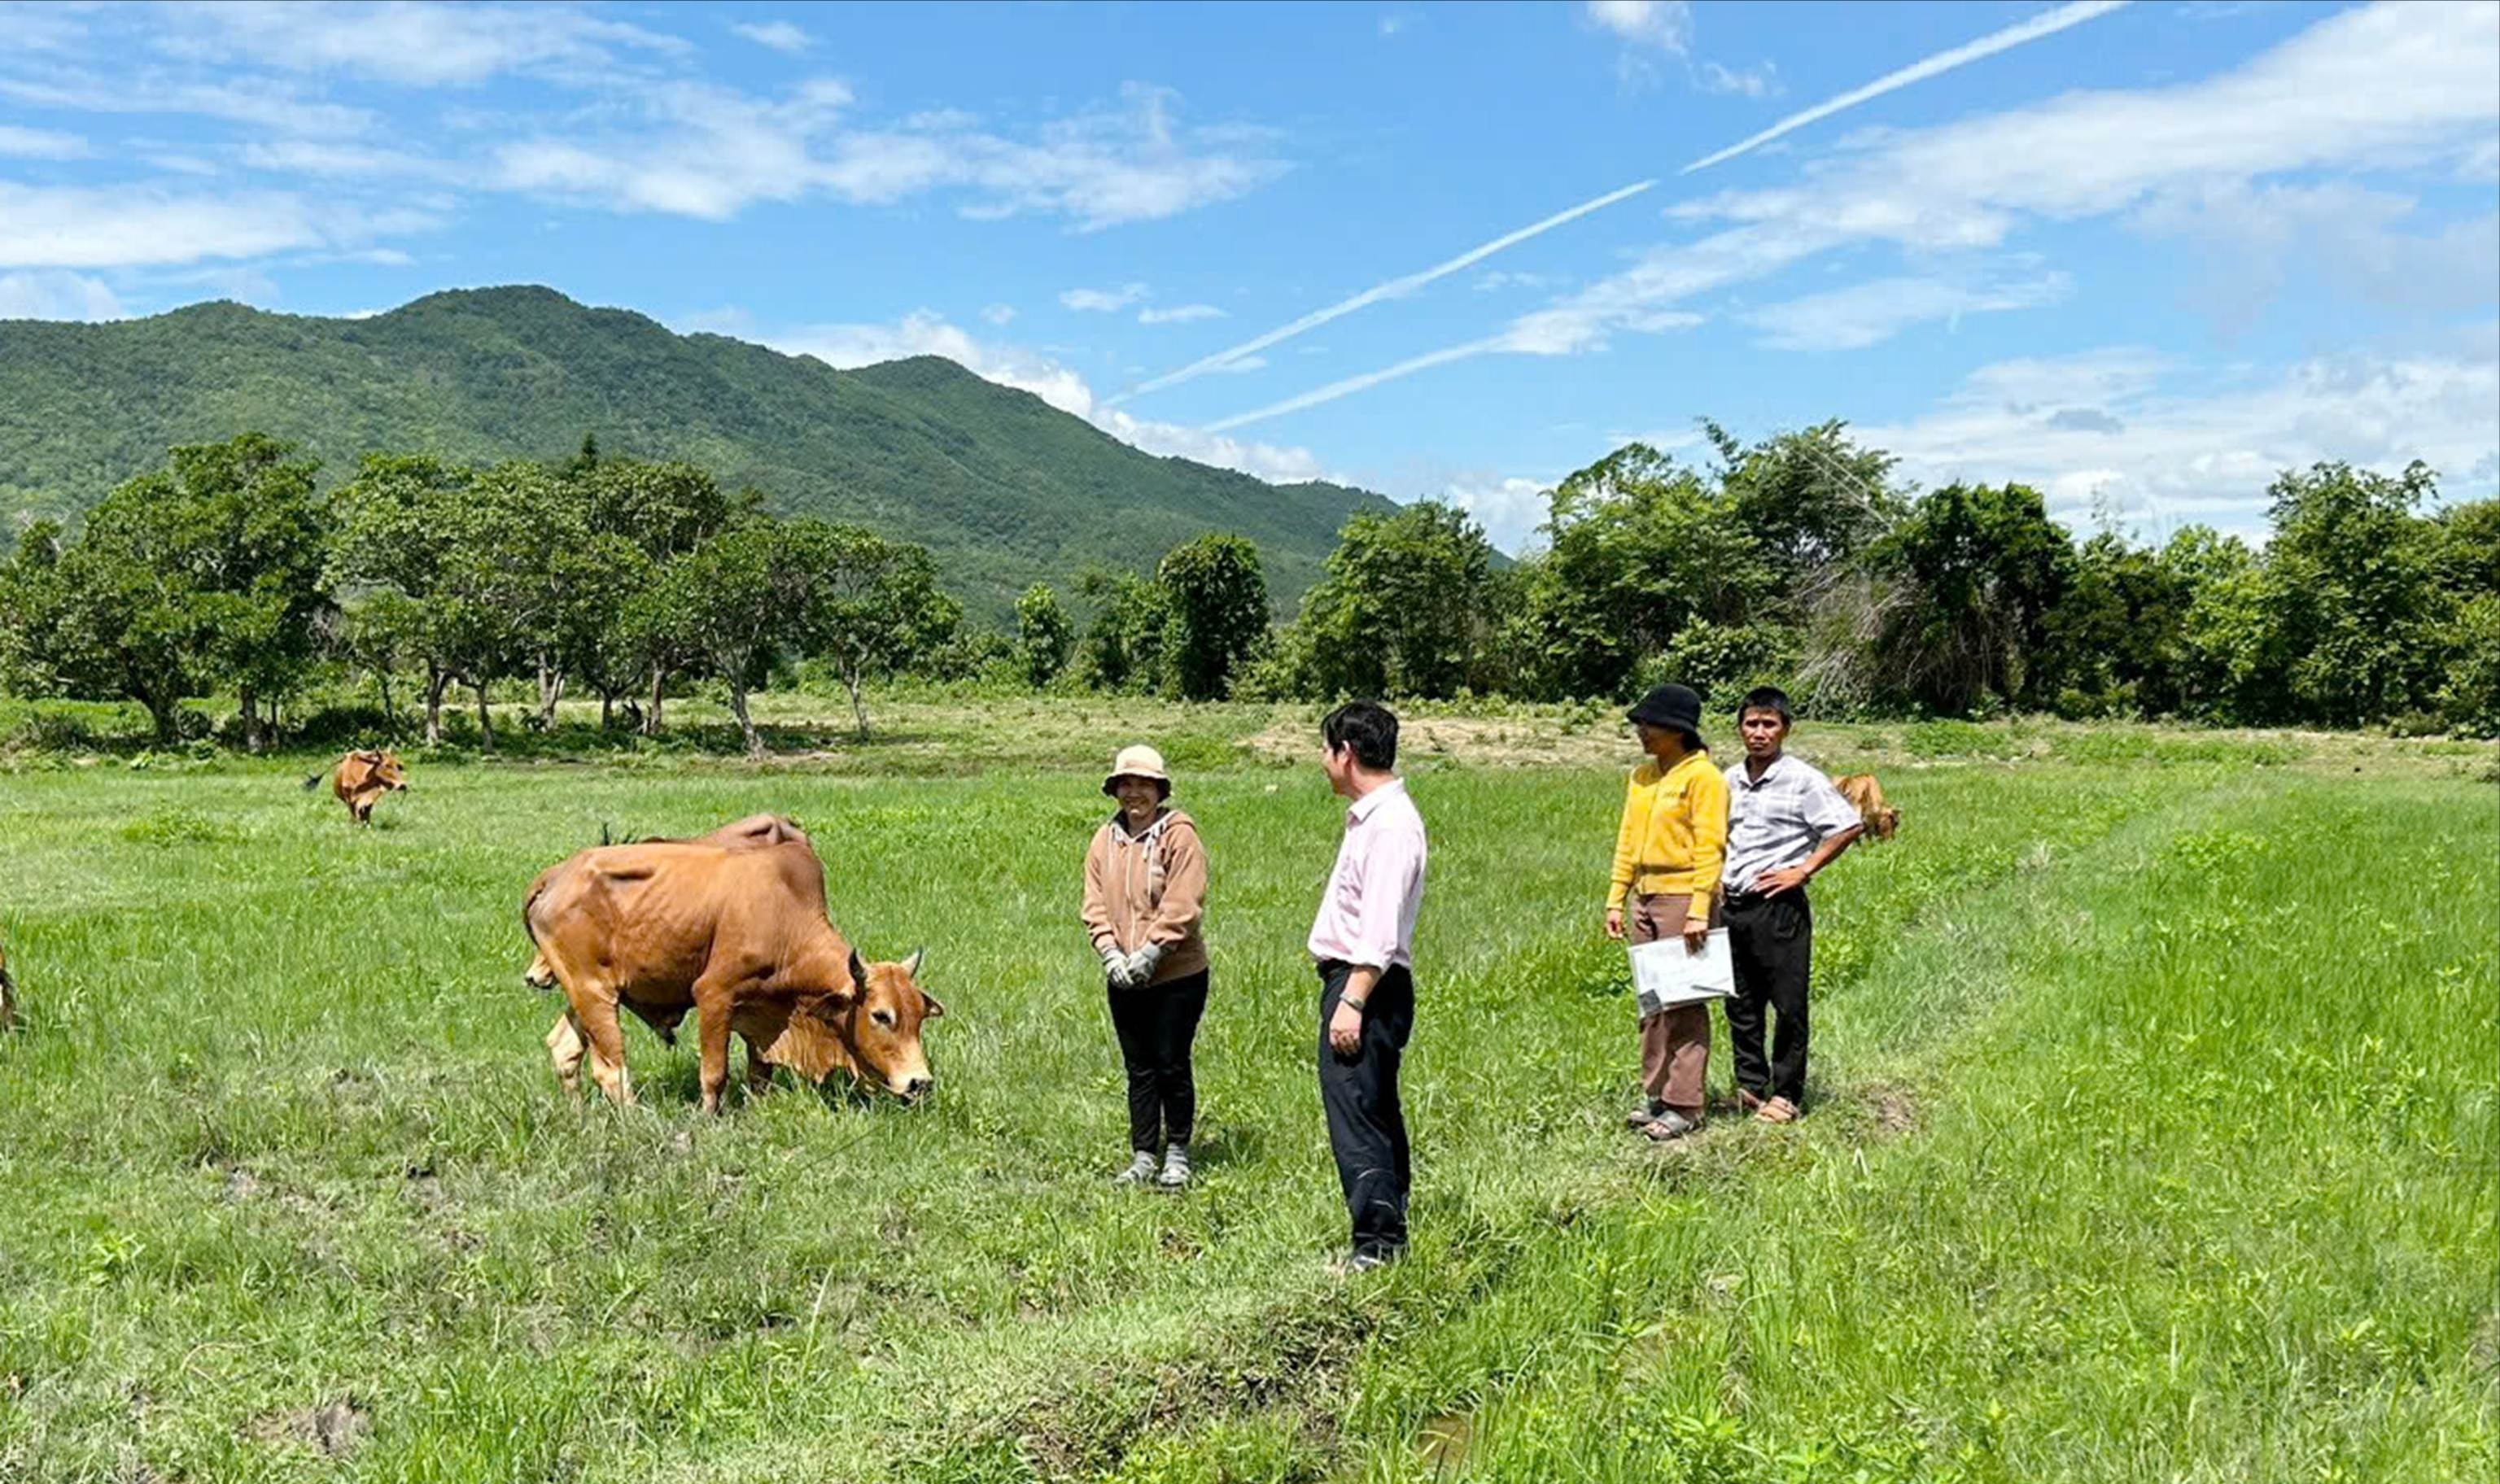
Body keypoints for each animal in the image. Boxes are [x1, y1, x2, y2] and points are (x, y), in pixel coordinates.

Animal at [522, 829, 940, 1109]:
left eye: (920, 1015)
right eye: (881, 1015)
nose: (919, 1082)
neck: (786, 917)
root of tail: (556, 874)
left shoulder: (764, 1010)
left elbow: (760, 1073)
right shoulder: (713, 995)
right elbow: (714, 1074)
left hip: (583, 992)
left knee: (564, 1050)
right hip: (593, 992)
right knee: (611, 1070)